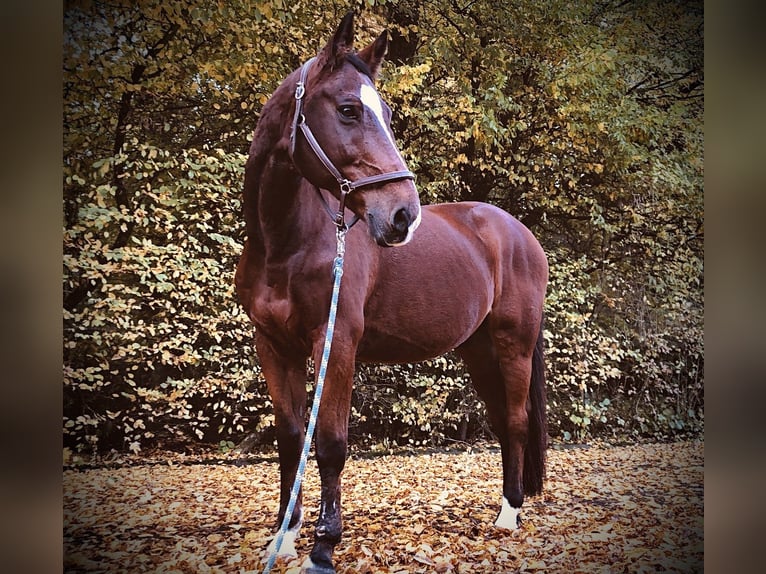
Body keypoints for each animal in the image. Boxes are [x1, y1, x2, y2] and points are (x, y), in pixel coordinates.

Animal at [237, 11, 548, 572]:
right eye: (348, 109)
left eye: (385, 111)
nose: (404, 214)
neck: (285, 244)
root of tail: (520, 234)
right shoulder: (272, 346)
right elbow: (292, 440)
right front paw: (283, 539)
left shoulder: (336, 342)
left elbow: (331, 443)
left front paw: (323, 547)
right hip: (479, 350)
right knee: (500, 421)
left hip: (514, 343)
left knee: (515, 421)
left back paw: (509, 516)